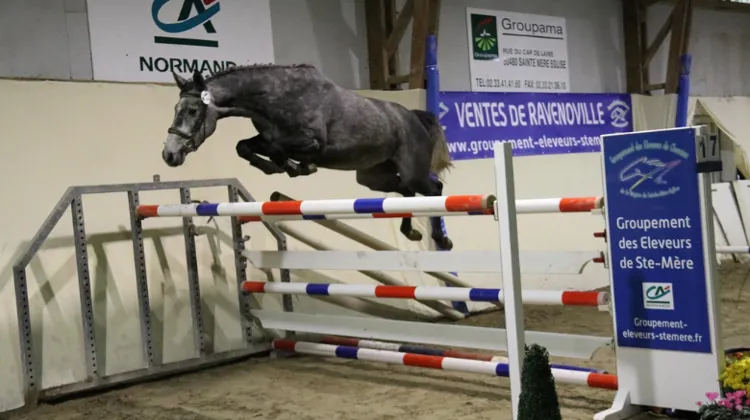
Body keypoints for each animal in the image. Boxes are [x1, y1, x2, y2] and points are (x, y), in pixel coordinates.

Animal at [161, 64, 455, 250]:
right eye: (175, 109)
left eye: (192, 111)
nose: (169, 154)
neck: (274, 97)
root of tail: (413, 117)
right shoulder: (266, 137)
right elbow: (244, 147)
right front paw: (277, 167)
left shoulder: (312, 142)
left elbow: (277, 149)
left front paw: (296, 167)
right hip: (373, 177)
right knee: (406, 191)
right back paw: (411, 232)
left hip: (412, 171)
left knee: (433, 189)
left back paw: (442, 240)